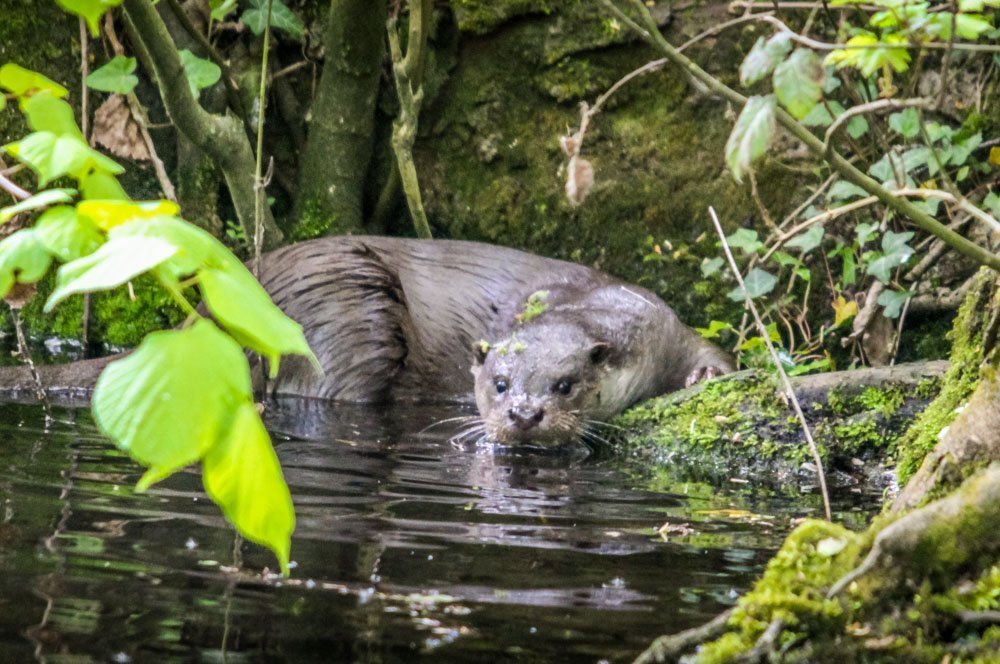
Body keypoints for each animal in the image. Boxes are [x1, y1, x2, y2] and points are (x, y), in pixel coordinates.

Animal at [0, 236, 736, 444]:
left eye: (565, 385)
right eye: (498, 384)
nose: (523, 415)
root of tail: (205, 315)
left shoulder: (669, 325)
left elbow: (717, 359)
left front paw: (706, 379)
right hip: (348, 307)